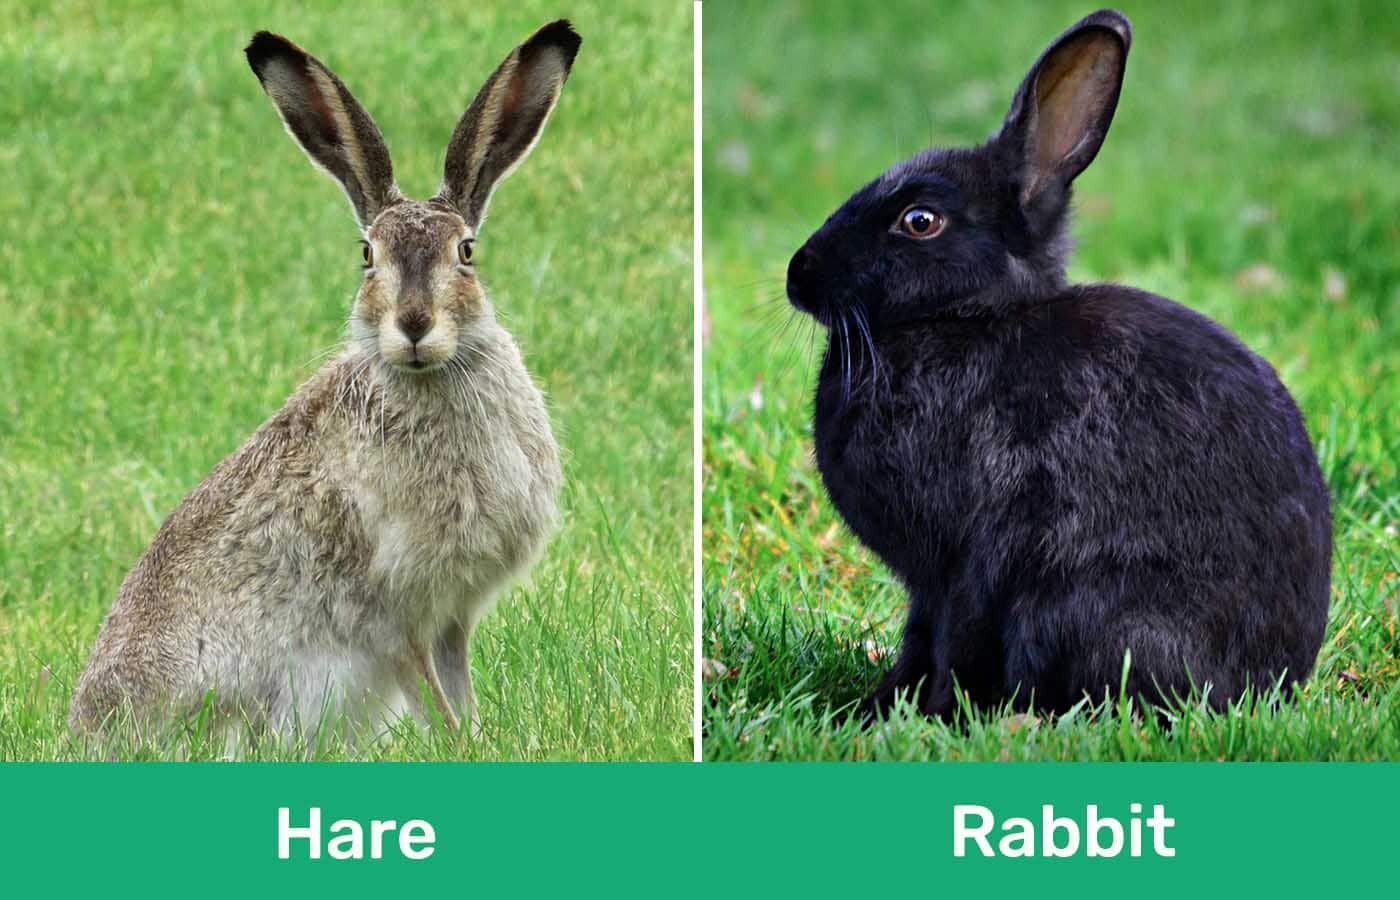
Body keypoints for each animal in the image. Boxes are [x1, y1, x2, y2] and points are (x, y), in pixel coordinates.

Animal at [69, 21, 580, 745]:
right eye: (368, 256)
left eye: (466, 253)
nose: (414, 325)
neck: (428, 376)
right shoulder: (396, 615)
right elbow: (432, 697)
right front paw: (460, 745)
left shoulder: (451, 616)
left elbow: (459, 690)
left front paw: (482, 741)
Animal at [785, 9, 1331, 722]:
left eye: (919, 220)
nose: (798, 273)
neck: (968, 316)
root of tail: (1272, 685)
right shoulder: (931, 586)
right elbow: (919, 639)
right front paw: (877, 708)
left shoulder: (969, 560)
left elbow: (953, 638)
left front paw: (929, 717)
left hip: (1076, 605)